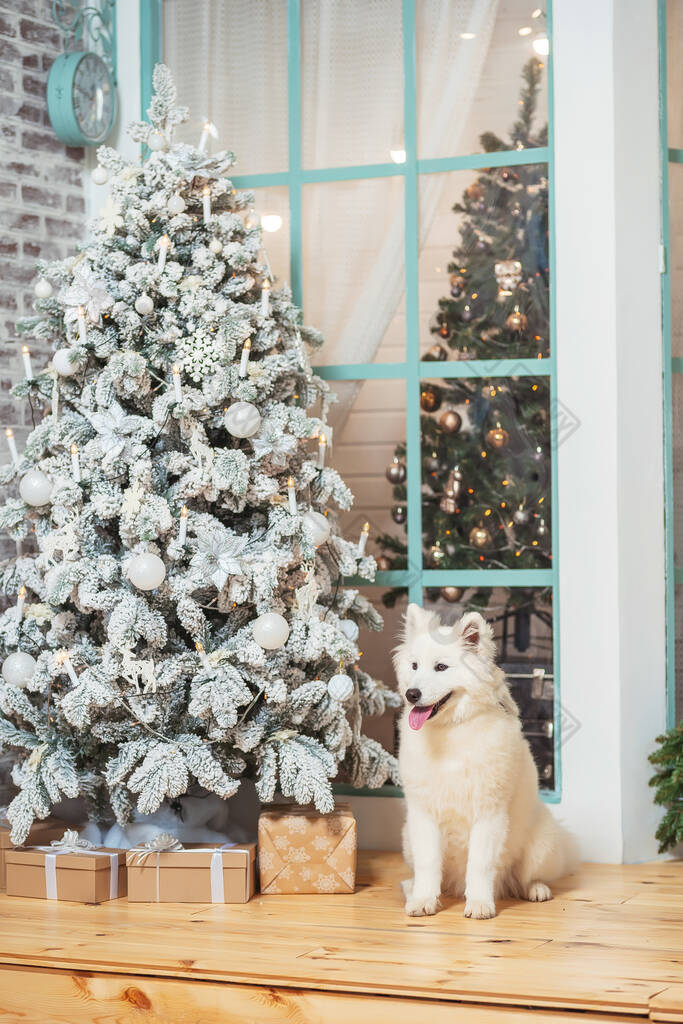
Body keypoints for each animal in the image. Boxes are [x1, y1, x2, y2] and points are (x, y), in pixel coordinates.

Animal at [395, 602, 577, 925]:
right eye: (414, 666)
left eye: (441, 667)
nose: (411, 694)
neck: (452, 731)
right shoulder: (423, 814)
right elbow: (429, 863)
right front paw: (424, 901)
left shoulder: (488, 813)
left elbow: (479, 864)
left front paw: (480, 904)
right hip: (407, 838)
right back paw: (414, 889)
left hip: (541, 845)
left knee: (524, 877)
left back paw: (536, 889)